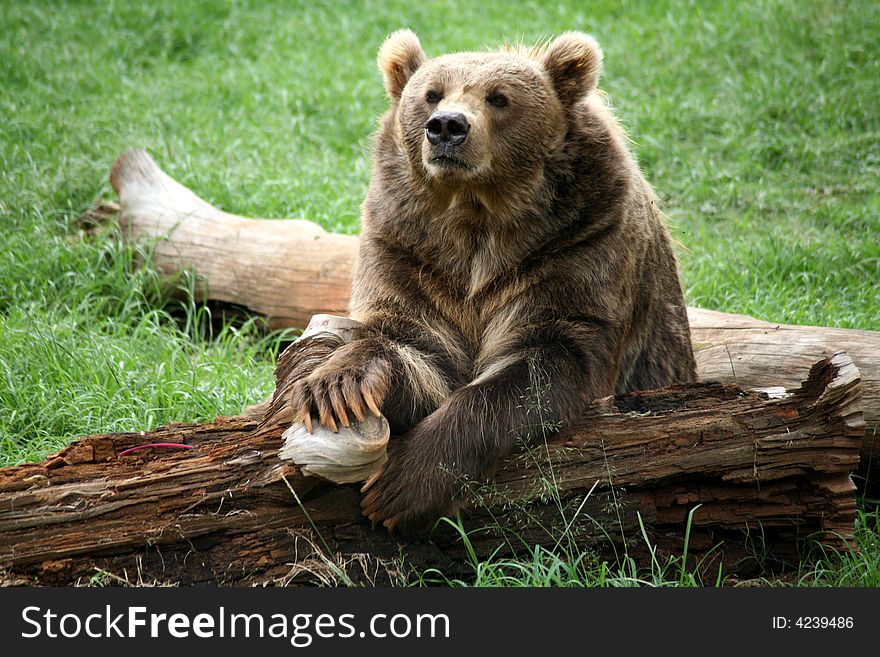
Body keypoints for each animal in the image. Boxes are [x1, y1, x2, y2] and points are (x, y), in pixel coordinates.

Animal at [288, 29, 696, 532]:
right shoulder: (412, 254)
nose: (447, 127)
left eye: (499, 98)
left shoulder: (578, 244)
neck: (478, 220)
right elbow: (413, 345)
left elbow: (541, 365)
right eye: (431, 94)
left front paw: (400, 487)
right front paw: (337, 386)